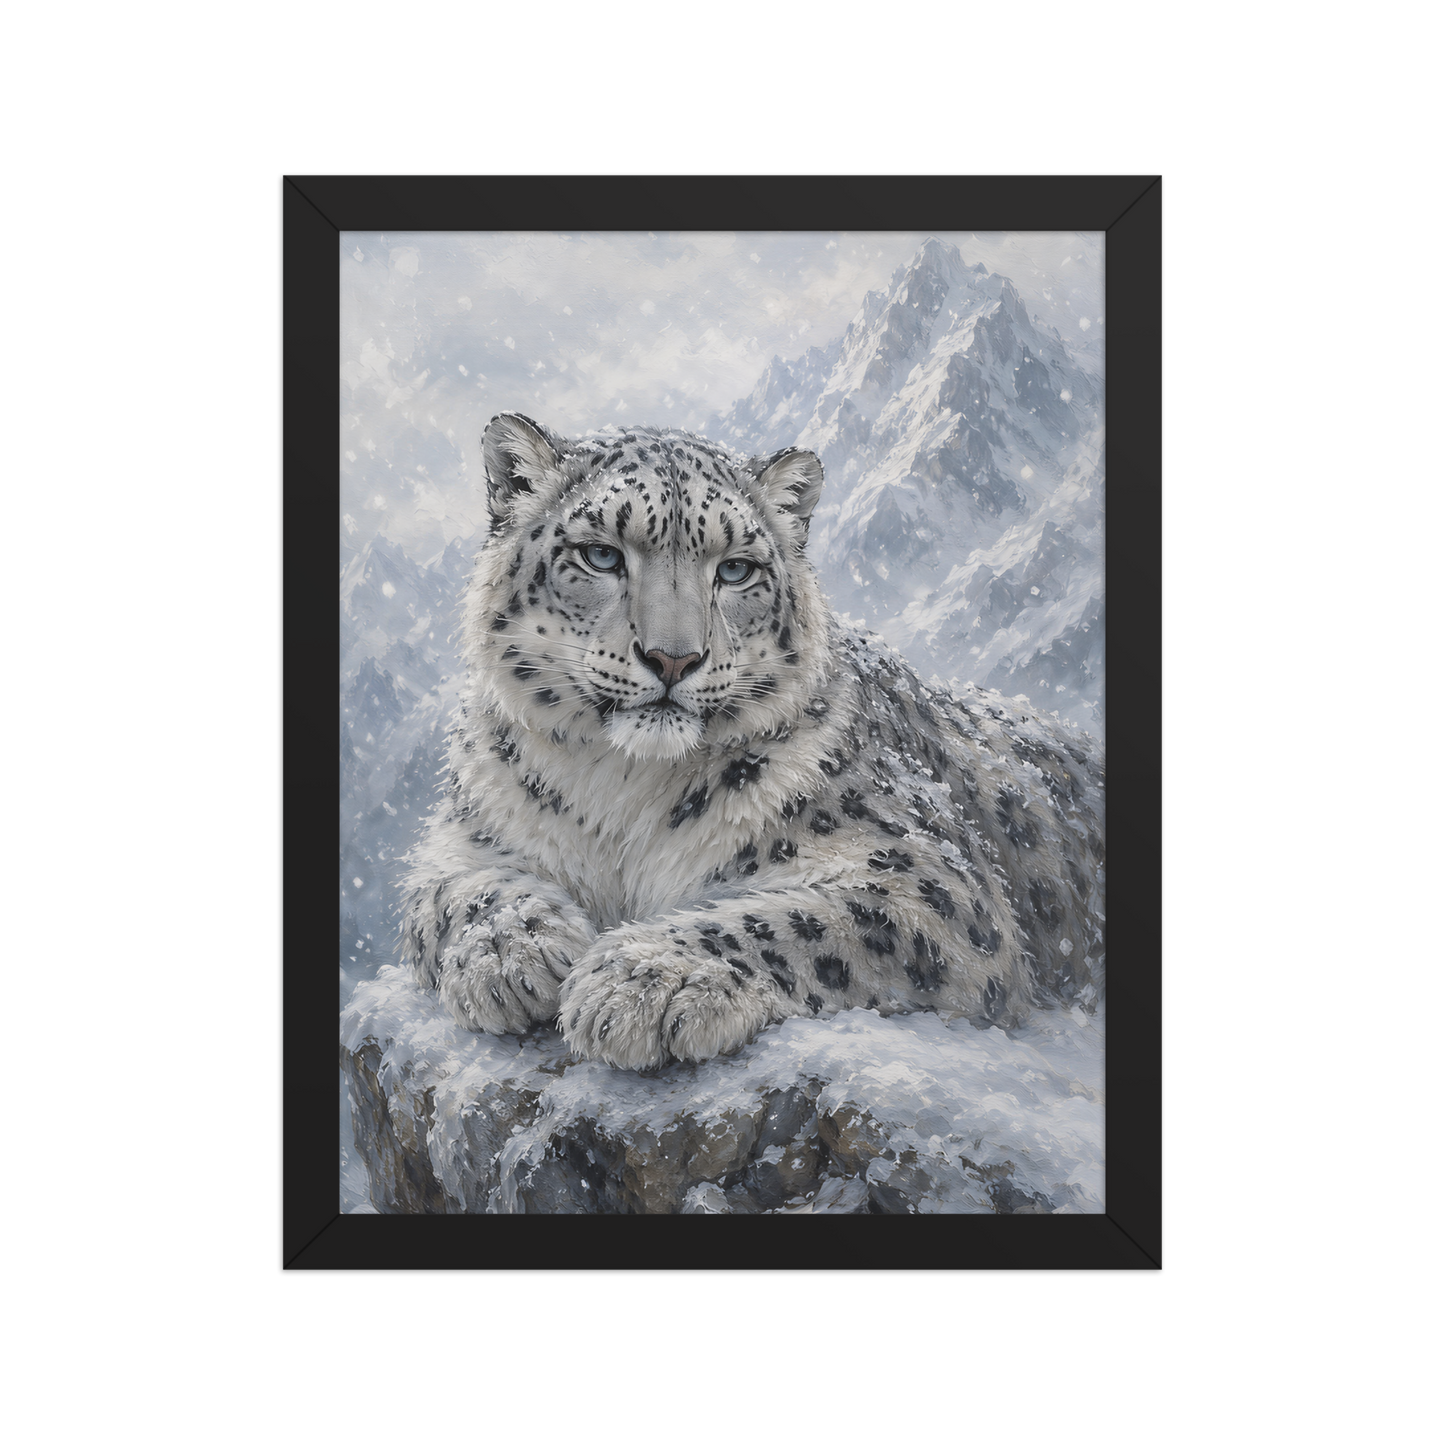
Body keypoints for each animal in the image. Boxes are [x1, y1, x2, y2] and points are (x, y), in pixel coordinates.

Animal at [398, 411, 1104, 1071]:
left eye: (735, 569)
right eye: (600, 554)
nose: (674, 658)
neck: (619, 790)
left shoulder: (929, 882)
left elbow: (794, 919)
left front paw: (643, 980)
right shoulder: (466, 835)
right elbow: (455, 891)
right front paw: (511, 953)